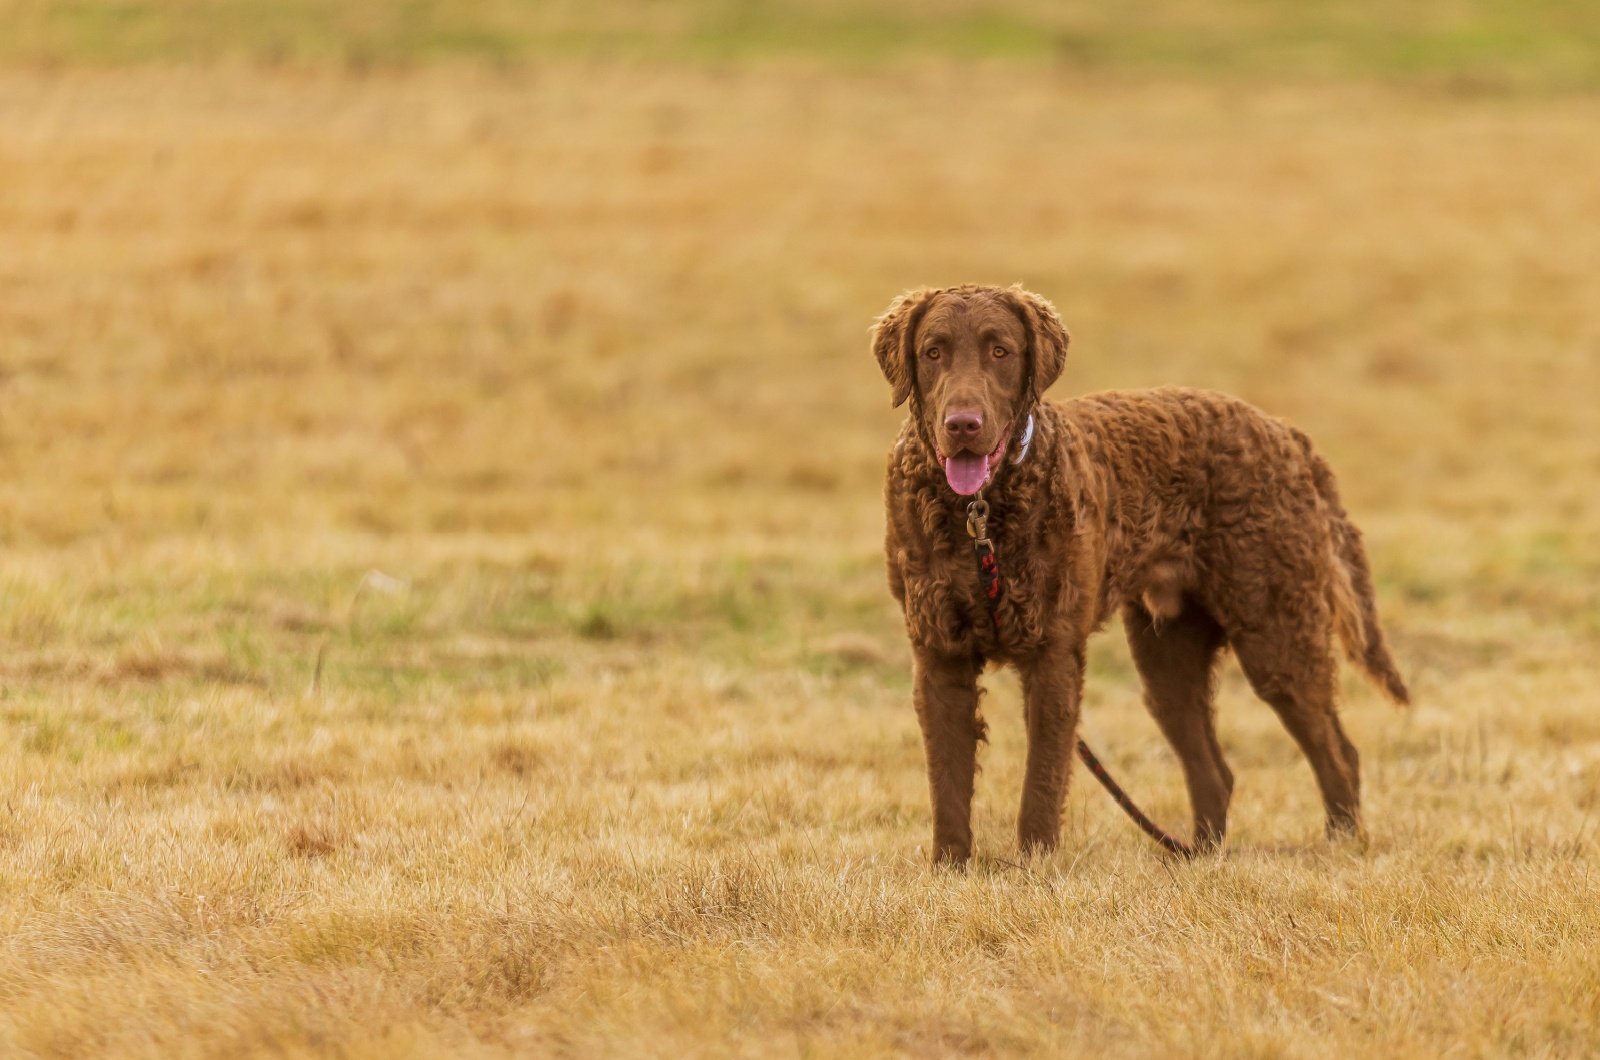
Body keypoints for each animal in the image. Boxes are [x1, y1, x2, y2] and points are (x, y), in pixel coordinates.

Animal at [876, 281, 1414, 864]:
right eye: (933, 352)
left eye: (1000, 351)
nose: (962, 426)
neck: (980, 516)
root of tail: (1286, 435)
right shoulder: (939, 655)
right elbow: (947, 781)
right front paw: (949, 869)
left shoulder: (1052, 654)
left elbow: (1041, 781)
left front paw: (1035, 867)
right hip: (1167, 658)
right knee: (1216, 773)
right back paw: (1201, 858)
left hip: (1277, 634)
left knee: (1339, 753)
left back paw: (1340, 845)